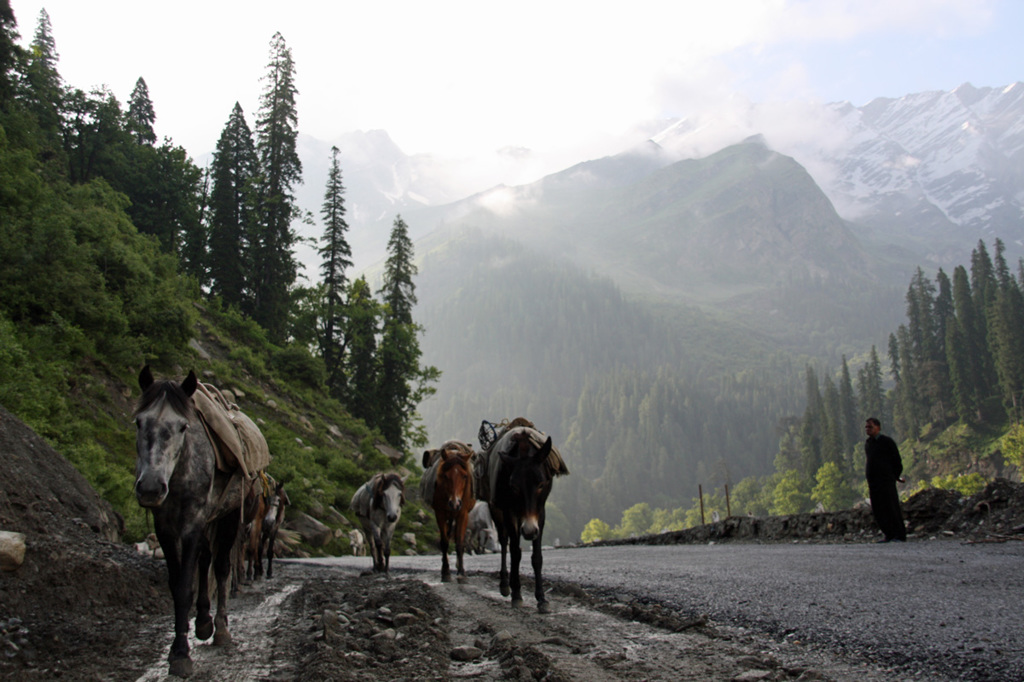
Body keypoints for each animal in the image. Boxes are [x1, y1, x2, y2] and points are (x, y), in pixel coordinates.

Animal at [419, 440, 475, 577]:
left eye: (465, 476)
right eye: (445, 476)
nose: (455, 503)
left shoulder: (462, 514)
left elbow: (459, 542)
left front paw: (461, 570)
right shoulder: (440, 513)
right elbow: (444, 542)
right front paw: (445, 569)